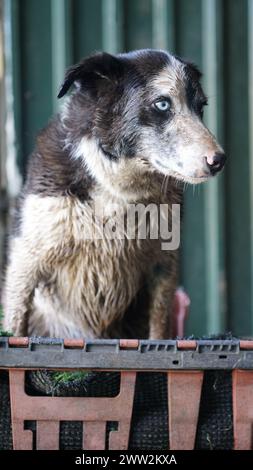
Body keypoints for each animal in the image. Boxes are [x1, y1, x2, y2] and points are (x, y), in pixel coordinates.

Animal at [1, 50, 226, 338]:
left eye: (201, 107)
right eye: (162, 104)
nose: (219, 160)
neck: (118, 192)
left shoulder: (163, 268)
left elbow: (158, 329)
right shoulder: (26, 261)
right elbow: (15, 326)